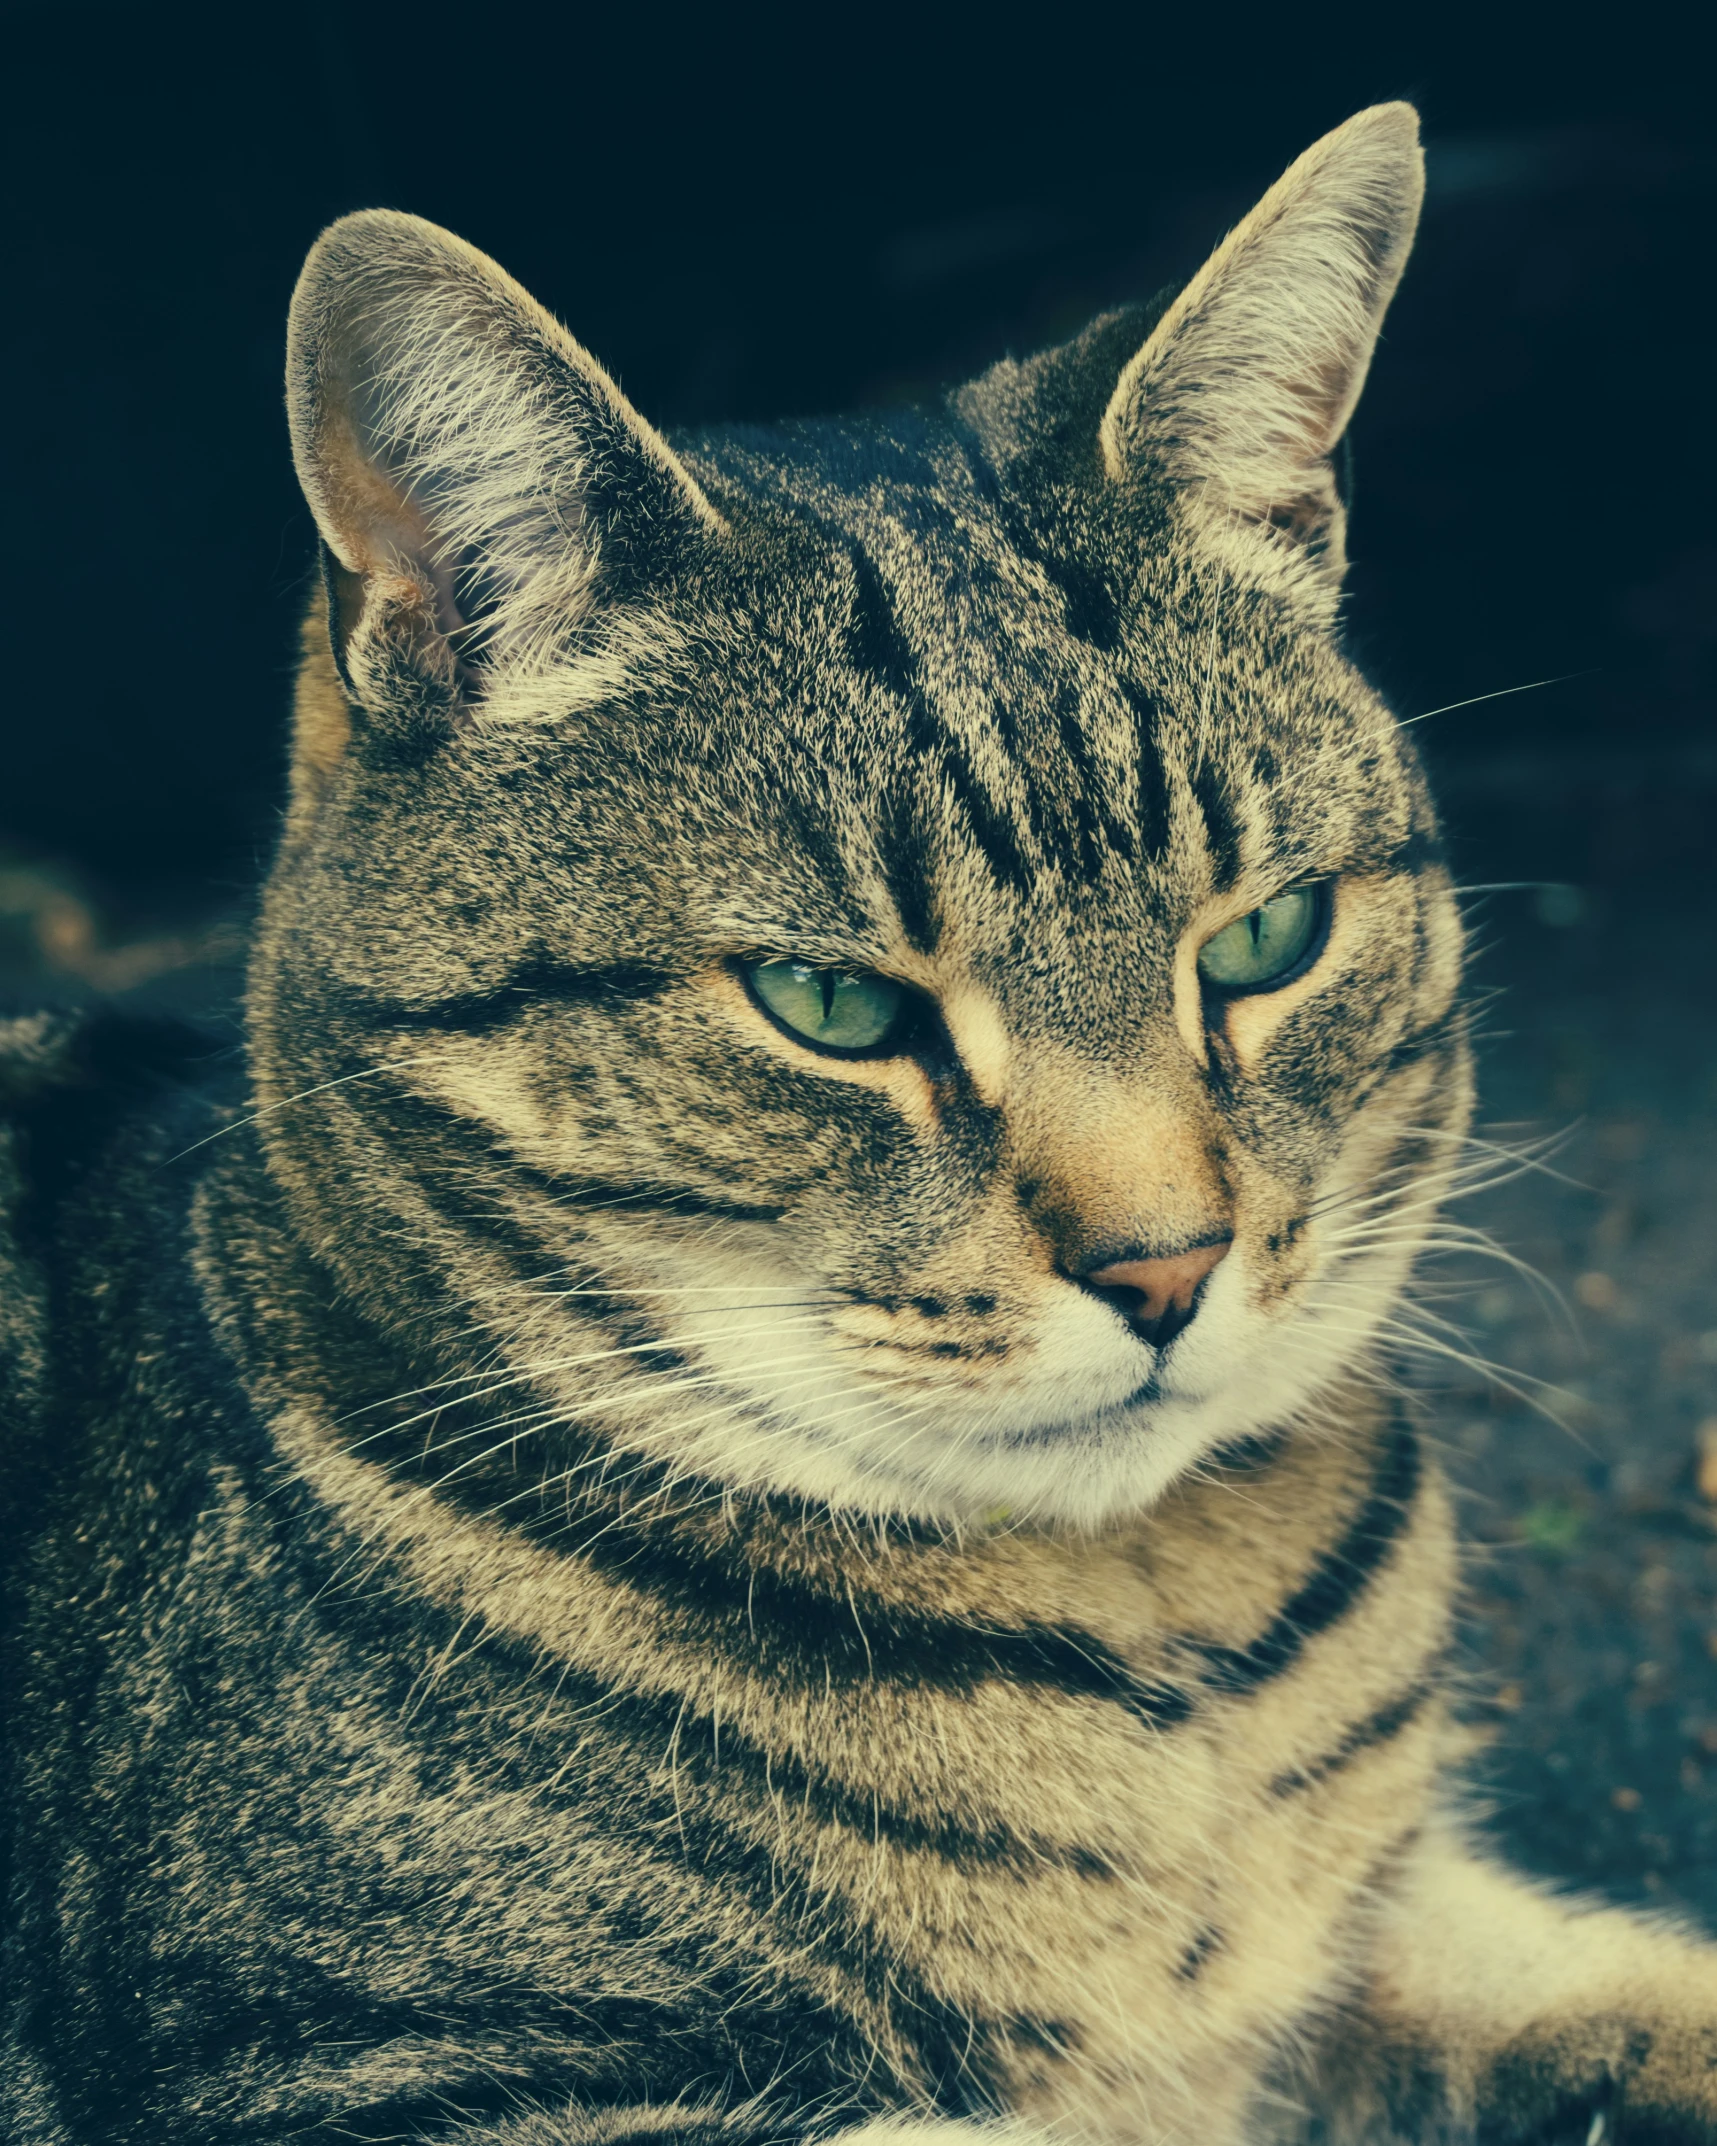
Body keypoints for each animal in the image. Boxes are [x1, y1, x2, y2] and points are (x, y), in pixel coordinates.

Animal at [3, 96, 1717, 2146]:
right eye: (828, 1008)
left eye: (1267, 937)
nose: (1168, 1266)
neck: (1175, 1671)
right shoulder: (372, 2072)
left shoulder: (1388, 1939)